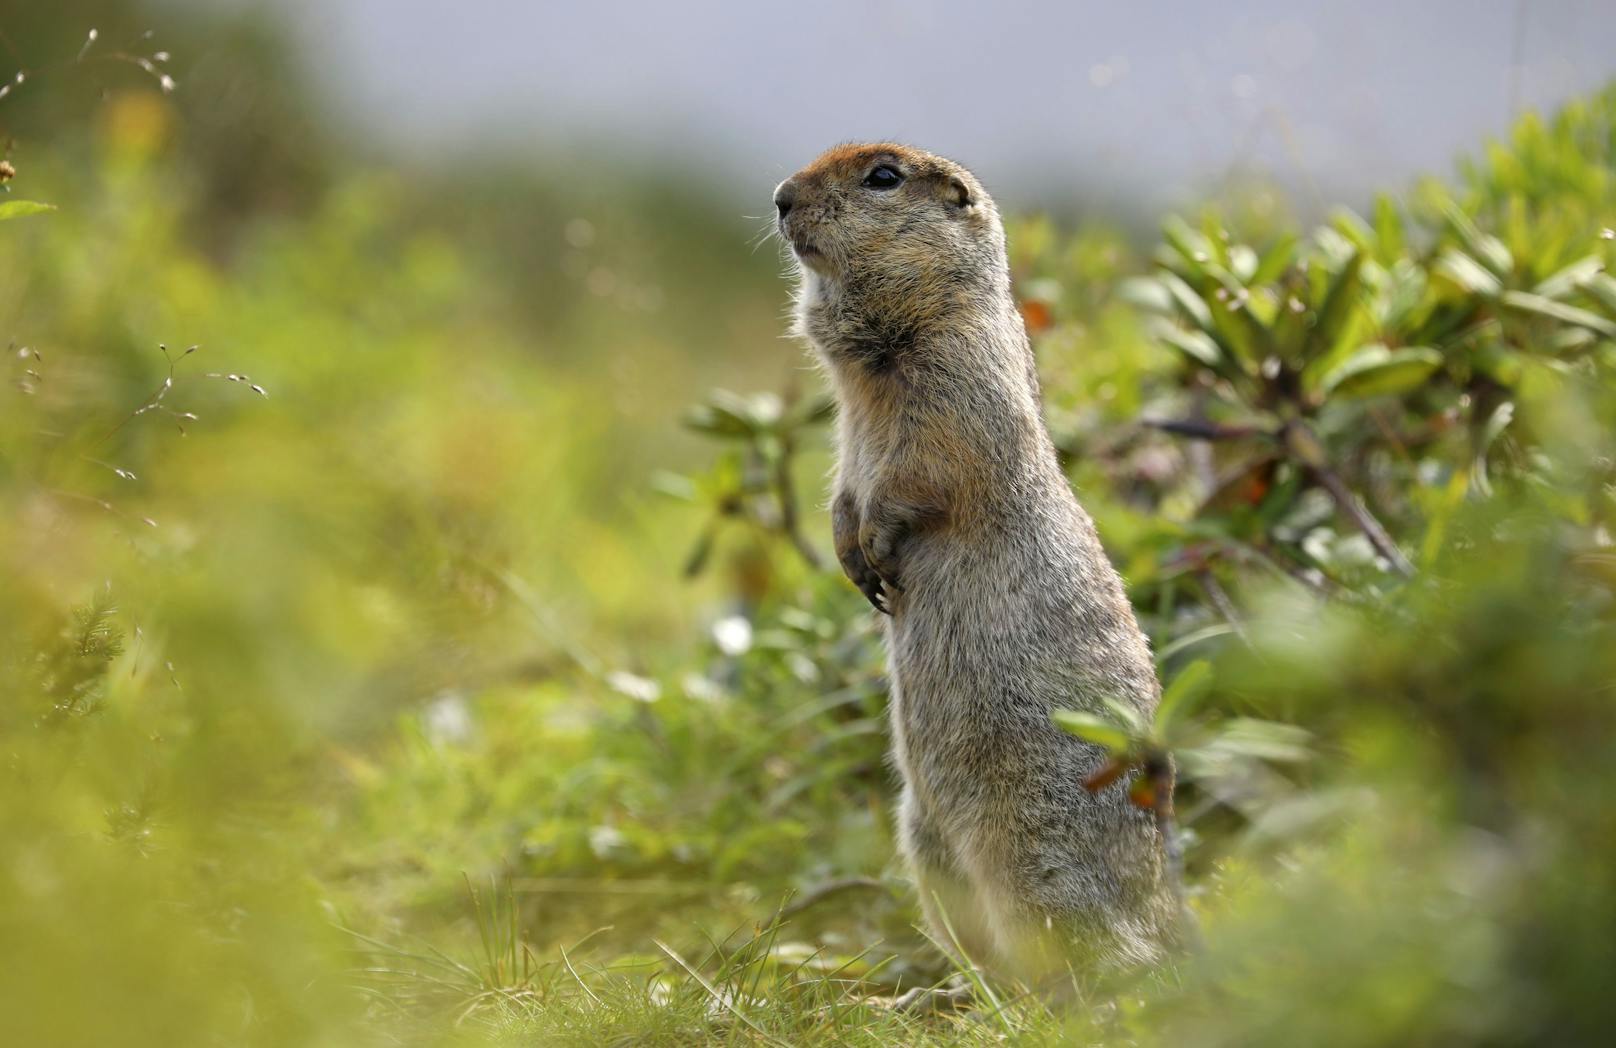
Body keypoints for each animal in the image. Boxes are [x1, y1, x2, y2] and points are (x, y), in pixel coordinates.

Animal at [772, 142, 1176, 975]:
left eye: (883, 176)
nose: (780, 197)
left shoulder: (962, 373)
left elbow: (930, 468)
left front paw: (877, 546)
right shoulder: (852, 434)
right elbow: (843, 485)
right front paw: (849, 549)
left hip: (1033, 853)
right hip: (924, 840)